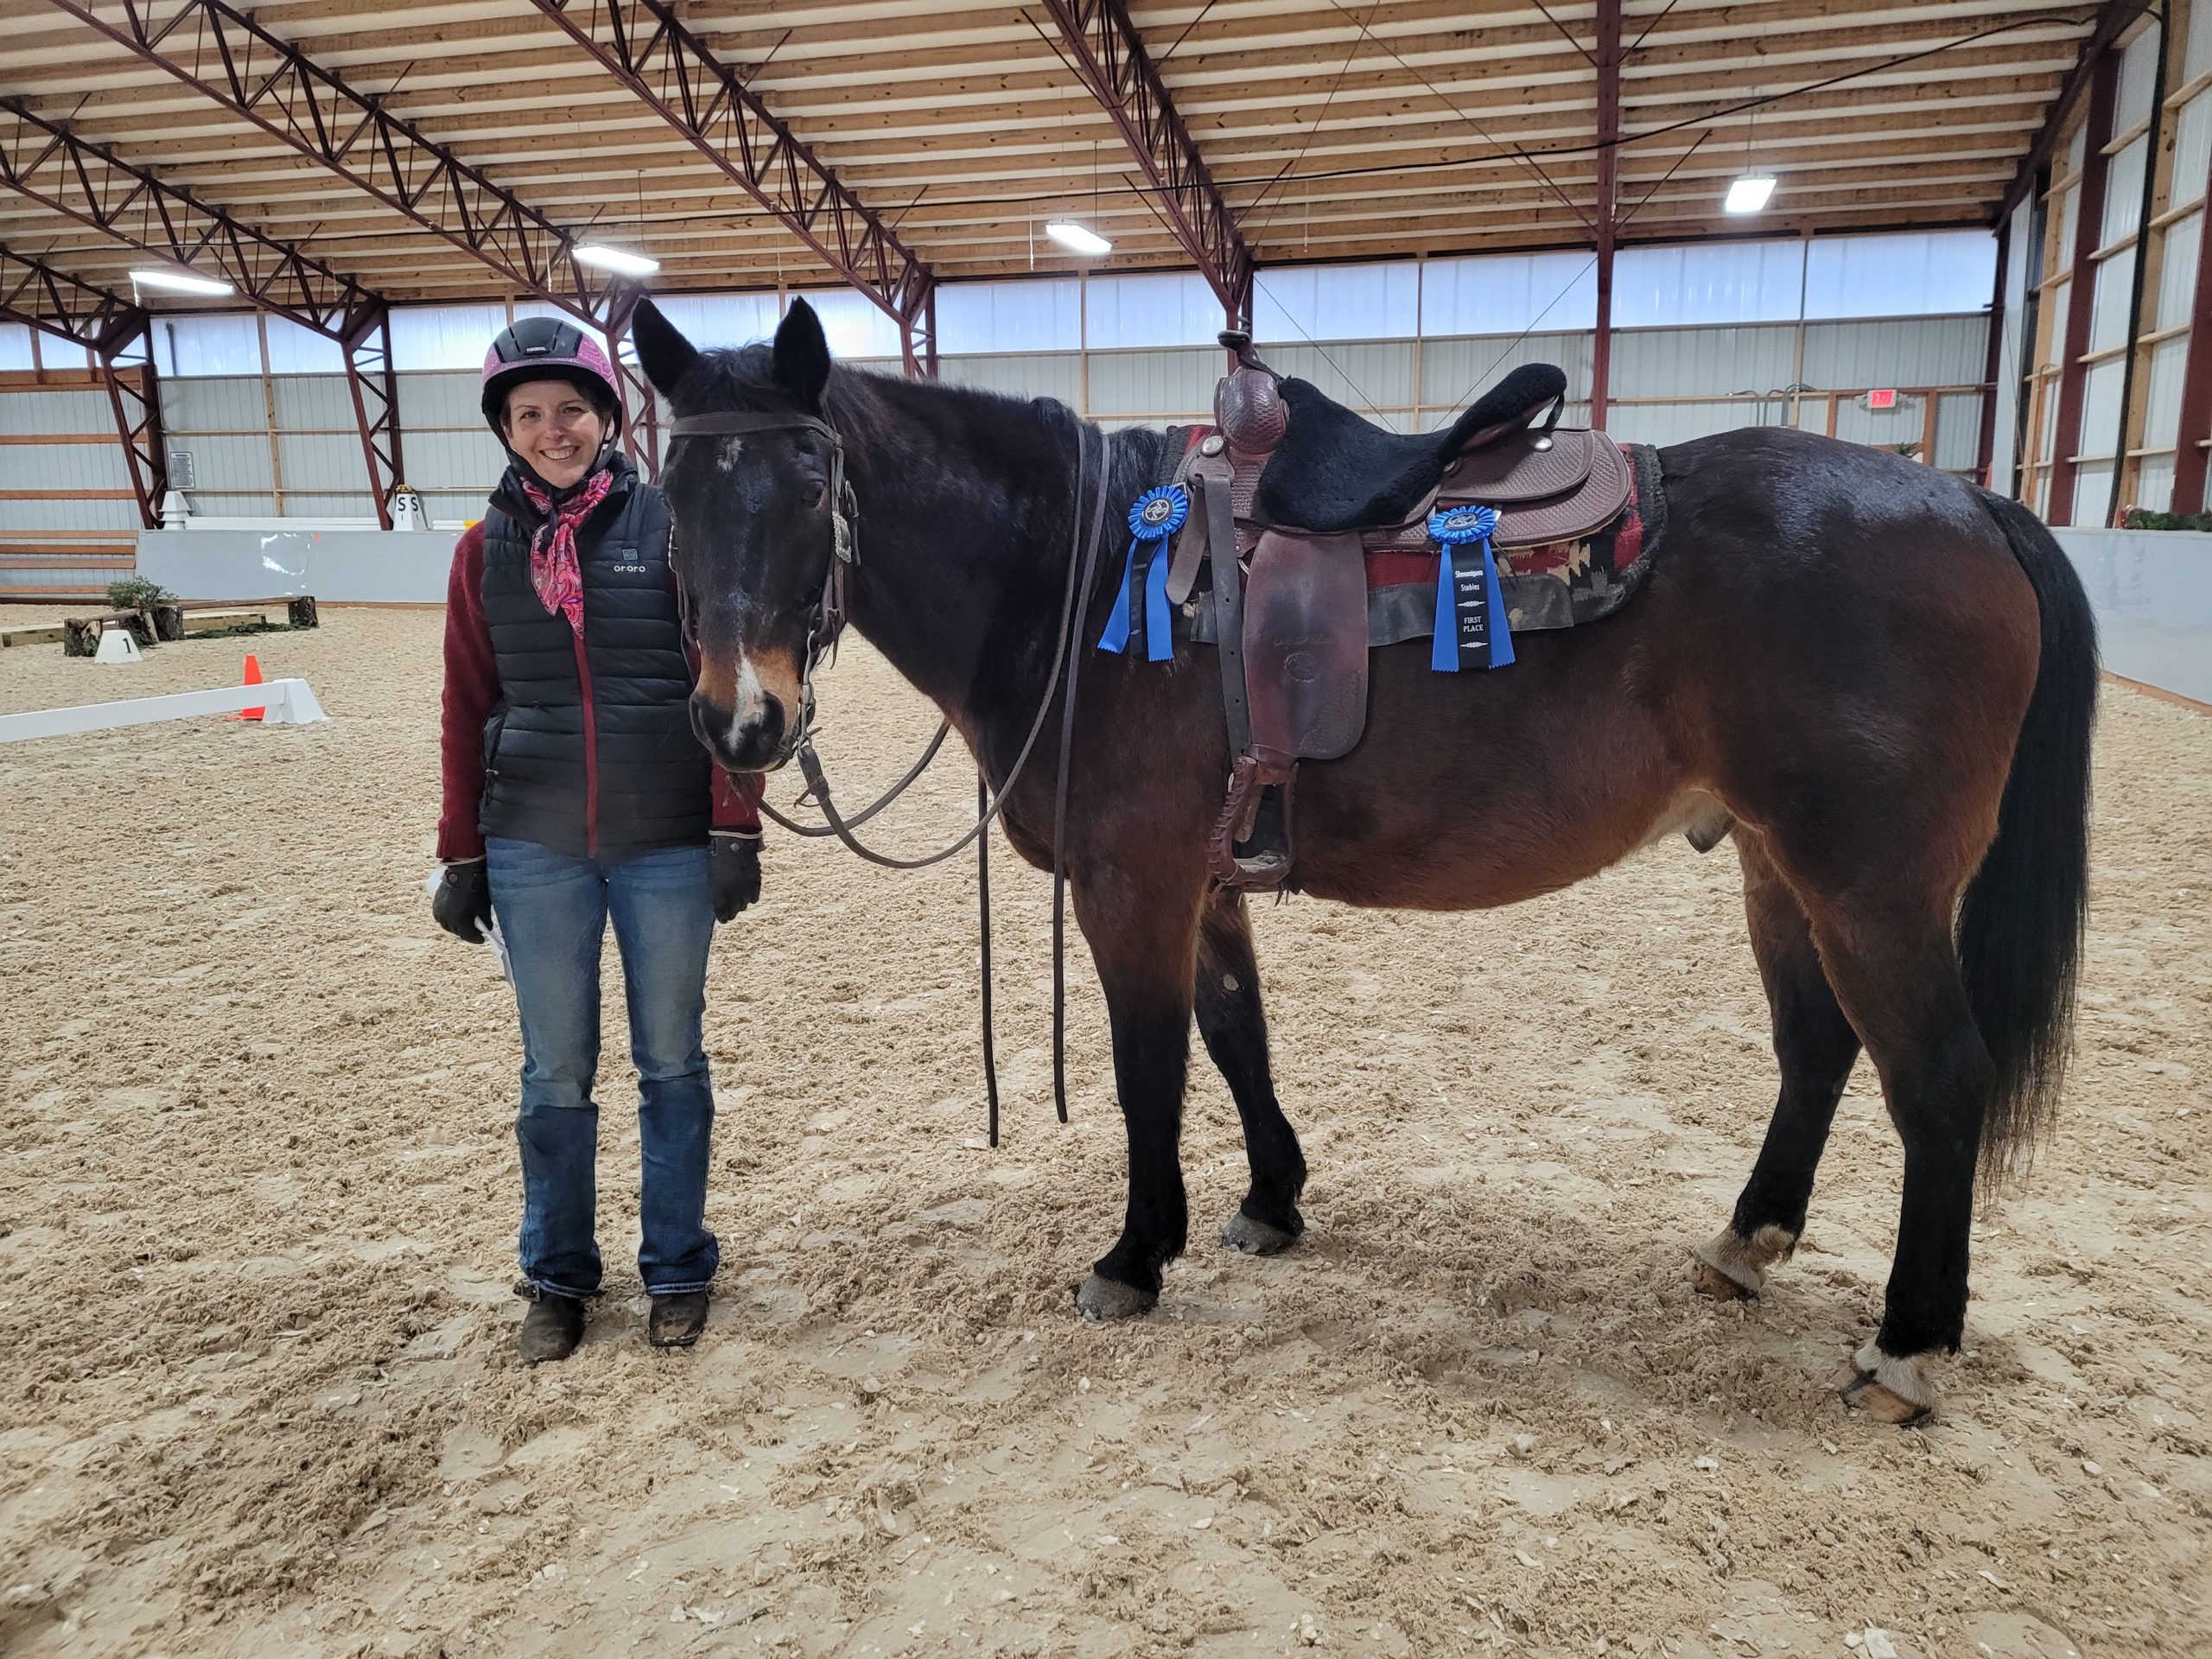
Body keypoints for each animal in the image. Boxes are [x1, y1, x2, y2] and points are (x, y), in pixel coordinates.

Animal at [637, 291, 2088, 1424]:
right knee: (1817, 1049)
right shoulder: (1207, 883)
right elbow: (1238, 1038)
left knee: (1937, 1080)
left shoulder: (1133, 887)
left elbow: (1150, 1071)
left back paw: (1907, 1348)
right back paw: (1747, 1243)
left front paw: (1135, 1254)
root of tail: (1967, 504)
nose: (739, 720)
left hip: (1873, 889)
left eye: (812, 488)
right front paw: (1271, 1203)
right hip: (1778, 870)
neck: (1080, 569)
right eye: (673, 497)